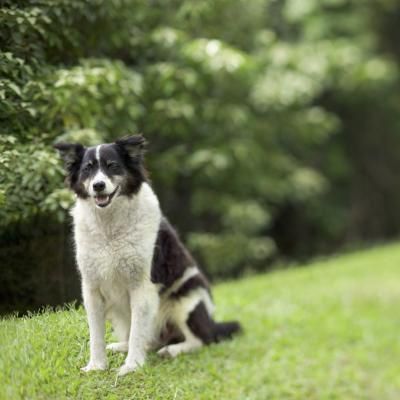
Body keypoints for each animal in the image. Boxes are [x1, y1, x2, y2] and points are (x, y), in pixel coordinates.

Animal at [54, 134, 241, 376]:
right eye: (87, 168)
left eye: (112, 166)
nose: (98, 185)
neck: (109, 225)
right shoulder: (92, 288)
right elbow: (96, 334)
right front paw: (97, 366)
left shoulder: (142, 286)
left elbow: (137, 332)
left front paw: (132, 366)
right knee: (148, 339)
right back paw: (121, 346)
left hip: (187, 300)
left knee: (201, 339)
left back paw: (172, 350)